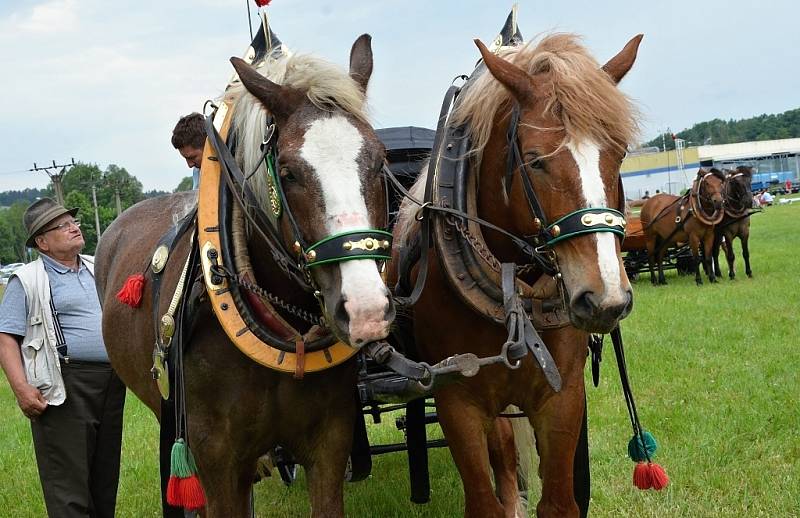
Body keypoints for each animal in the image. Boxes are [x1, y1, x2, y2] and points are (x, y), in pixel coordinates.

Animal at [390, 33, 644, 518]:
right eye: (535, 160)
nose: (605, 299)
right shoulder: (458, 401)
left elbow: (560, 502)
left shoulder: (562, 396)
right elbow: (484, 498)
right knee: (504, 456)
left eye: (618, 153)